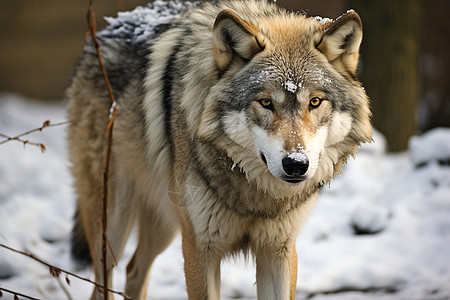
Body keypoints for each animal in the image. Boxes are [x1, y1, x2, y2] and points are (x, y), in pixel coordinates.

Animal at [65, 1, 370, 298]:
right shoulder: (200, 249)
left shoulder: (279, 251)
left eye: (315, 102)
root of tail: (104, 31)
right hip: (112, 229)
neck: (255, 195)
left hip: (164, 225)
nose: (296, 164)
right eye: (266, 102)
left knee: (134, 270)